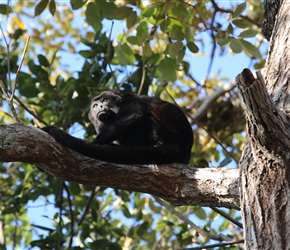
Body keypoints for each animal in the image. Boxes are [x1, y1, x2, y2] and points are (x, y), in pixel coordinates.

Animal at [42, 91, 193, 165]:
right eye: (94, 106)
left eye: (104, 100)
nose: (100, 106)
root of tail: (185, 148)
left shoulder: (131, 99)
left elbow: (134, 115)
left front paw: (94, 143)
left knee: (145, 118)